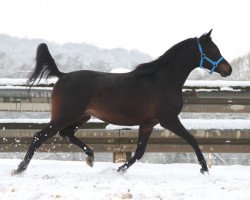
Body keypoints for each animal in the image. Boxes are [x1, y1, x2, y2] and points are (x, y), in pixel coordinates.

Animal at [12, 30, 232, 175]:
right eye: (212, 49)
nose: (228, 69)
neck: (163, 80)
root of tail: (63, 75)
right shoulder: (169, 120)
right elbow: (192, 139)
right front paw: (204, 168)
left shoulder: (149, 123)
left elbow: (140, 152)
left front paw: (120, 168)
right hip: (65, 116)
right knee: (40, 136)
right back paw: (19, 169)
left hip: (82, 116)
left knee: (66, 133)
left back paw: (91, 157)